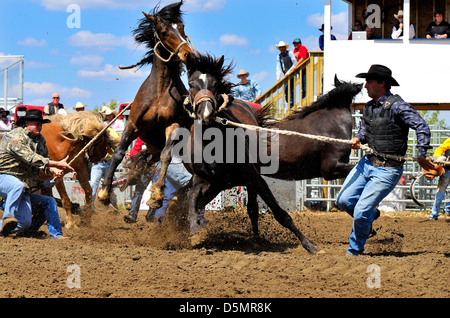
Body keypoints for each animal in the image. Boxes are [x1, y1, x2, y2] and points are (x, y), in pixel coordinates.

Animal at [97, 0, 192, 209]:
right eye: (164, 31)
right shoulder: (133, 124)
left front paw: (156, 194)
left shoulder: (172, 125)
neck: (160, 90)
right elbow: (119, 153)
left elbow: (166, 156)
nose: (188, 54)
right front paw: (104, 192)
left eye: (182, 27)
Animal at [180, 52, 320, 256]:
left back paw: (257, 240)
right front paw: (194, 228)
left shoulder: (254, 177)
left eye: (215, 84)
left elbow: (281, 213)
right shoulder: (203, 180)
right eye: (191, 84)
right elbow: (191, 198)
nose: (206, 114)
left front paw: (309, 244)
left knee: (253, 208)